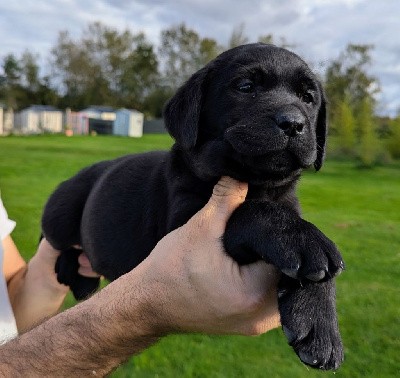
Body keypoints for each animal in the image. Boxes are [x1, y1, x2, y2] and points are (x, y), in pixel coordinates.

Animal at [42, 43, 346, 370]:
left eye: (308, 98)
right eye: (245, 86)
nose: (293, 123)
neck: (256, 182)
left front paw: (320, 324)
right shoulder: (185, 223)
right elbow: (249, 212)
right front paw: (304, 240)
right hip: (60, 213)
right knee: (50, 239)